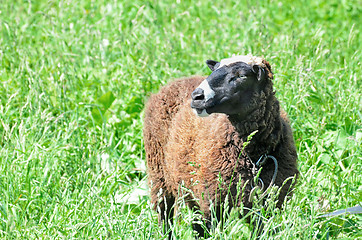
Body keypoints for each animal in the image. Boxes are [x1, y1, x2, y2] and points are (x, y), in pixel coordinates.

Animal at [143, 54, 298, 238]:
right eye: (214, 70)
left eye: (241, 76)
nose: (197, 96)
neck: (253, 156)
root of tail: (177, 81)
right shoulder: (215, 202)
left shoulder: (266, 203)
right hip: (159, 175)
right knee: (165, 215)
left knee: (195, 223)